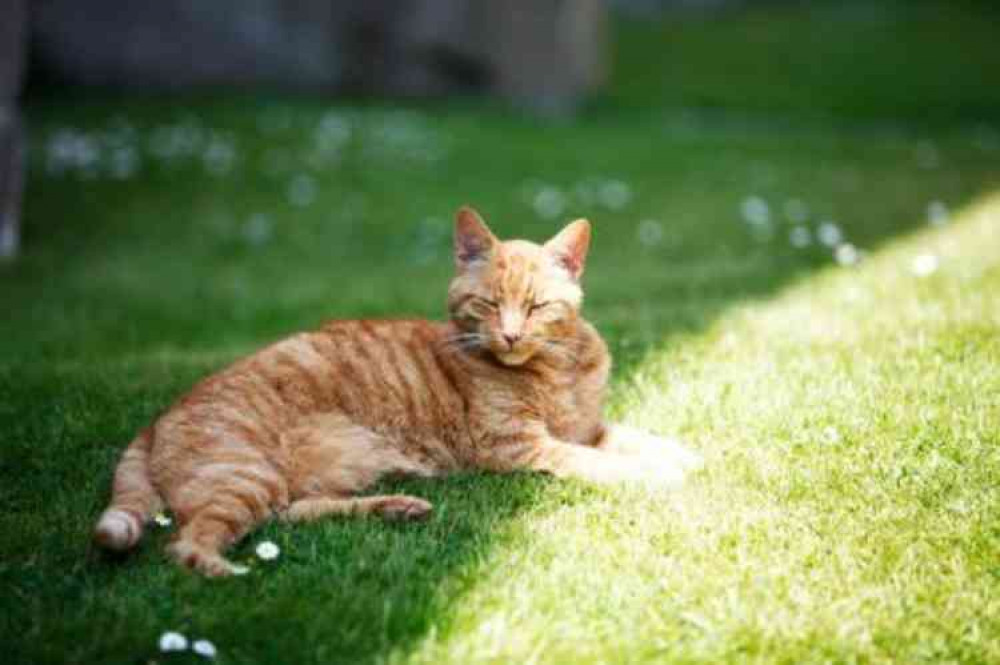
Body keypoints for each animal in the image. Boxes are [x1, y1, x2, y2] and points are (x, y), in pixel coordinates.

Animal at [97, 208, 700, 576]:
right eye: (488, 304)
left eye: (535, 307)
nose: (509, 334)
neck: (557, 369)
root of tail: (157, 419)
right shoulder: (518, 446)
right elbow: (597, 462)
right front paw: (657, 475)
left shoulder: (589, 427)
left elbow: (637, 437)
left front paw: (685, 455)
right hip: (244, 475)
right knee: (187, 544)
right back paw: (231, 571)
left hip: (302, 477)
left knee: (293, 512)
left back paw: (397, 508)